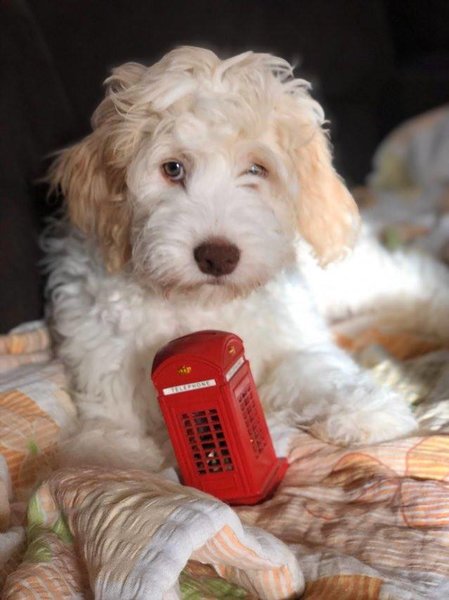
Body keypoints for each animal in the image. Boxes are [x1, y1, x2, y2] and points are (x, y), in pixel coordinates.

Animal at [46, 47, 448, 472]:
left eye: (257, 169)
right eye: (173, 168)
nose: (217, 257)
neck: (198, 304)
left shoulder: (293, 335)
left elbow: (318, 367)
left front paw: (363, 410)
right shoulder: (103, 359)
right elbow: (111, 421)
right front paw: (115, 455)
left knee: (416, 277)